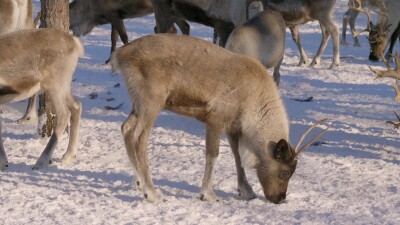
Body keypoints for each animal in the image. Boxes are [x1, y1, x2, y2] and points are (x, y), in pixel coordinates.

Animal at [0, 29, 83, 171]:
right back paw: (68, 155)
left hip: (55, 85)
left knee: (64, 114)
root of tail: (74, 42)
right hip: (63, 85)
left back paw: (41, 161)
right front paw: (4, 162)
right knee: (76, 106)